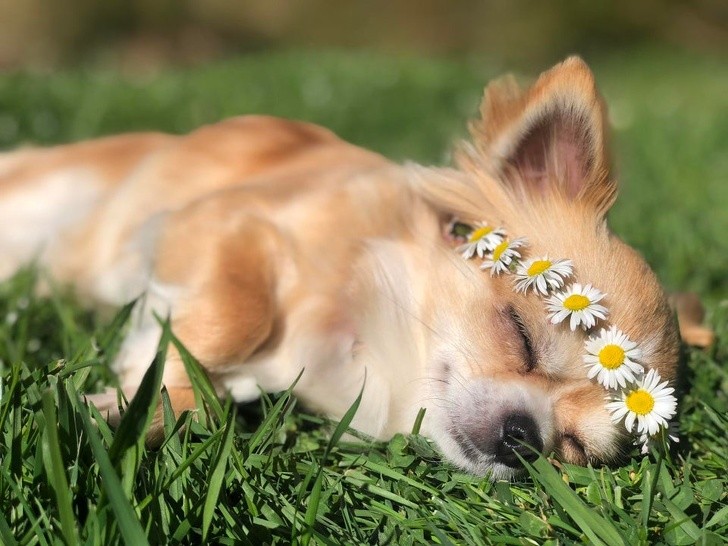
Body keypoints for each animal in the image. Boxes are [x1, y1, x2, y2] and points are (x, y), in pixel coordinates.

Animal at [0, 56, 700, 476]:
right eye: (519, 334)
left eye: (575, 449)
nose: (525, 438)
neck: (366, 338)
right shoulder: (211, 221)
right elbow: (239, 314)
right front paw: (140, 374)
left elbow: (205, 407)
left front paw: (132, 407)